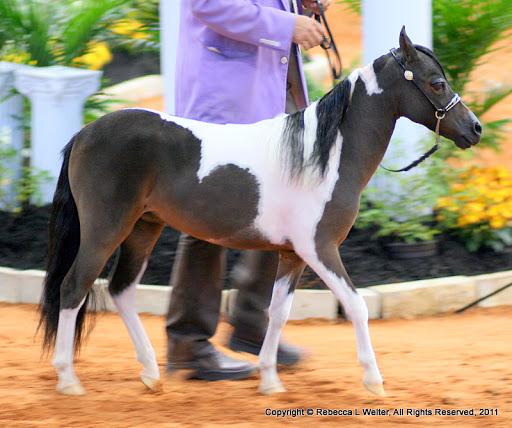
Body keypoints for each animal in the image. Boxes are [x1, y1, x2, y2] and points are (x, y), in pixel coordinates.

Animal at [39, 29, 480, 398]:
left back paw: (150, 373)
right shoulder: (320, 248)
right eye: (437, 83)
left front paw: (269, 380)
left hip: (143, 228)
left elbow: (277, 313)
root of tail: (85, 133)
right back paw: (68, 379)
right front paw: (374, 380)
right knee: (74, 287)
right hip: (105, 229)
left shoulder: (292, 255)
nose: (474, 128)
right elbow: (356, 306)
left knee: (121, 290)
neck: (323, 155)